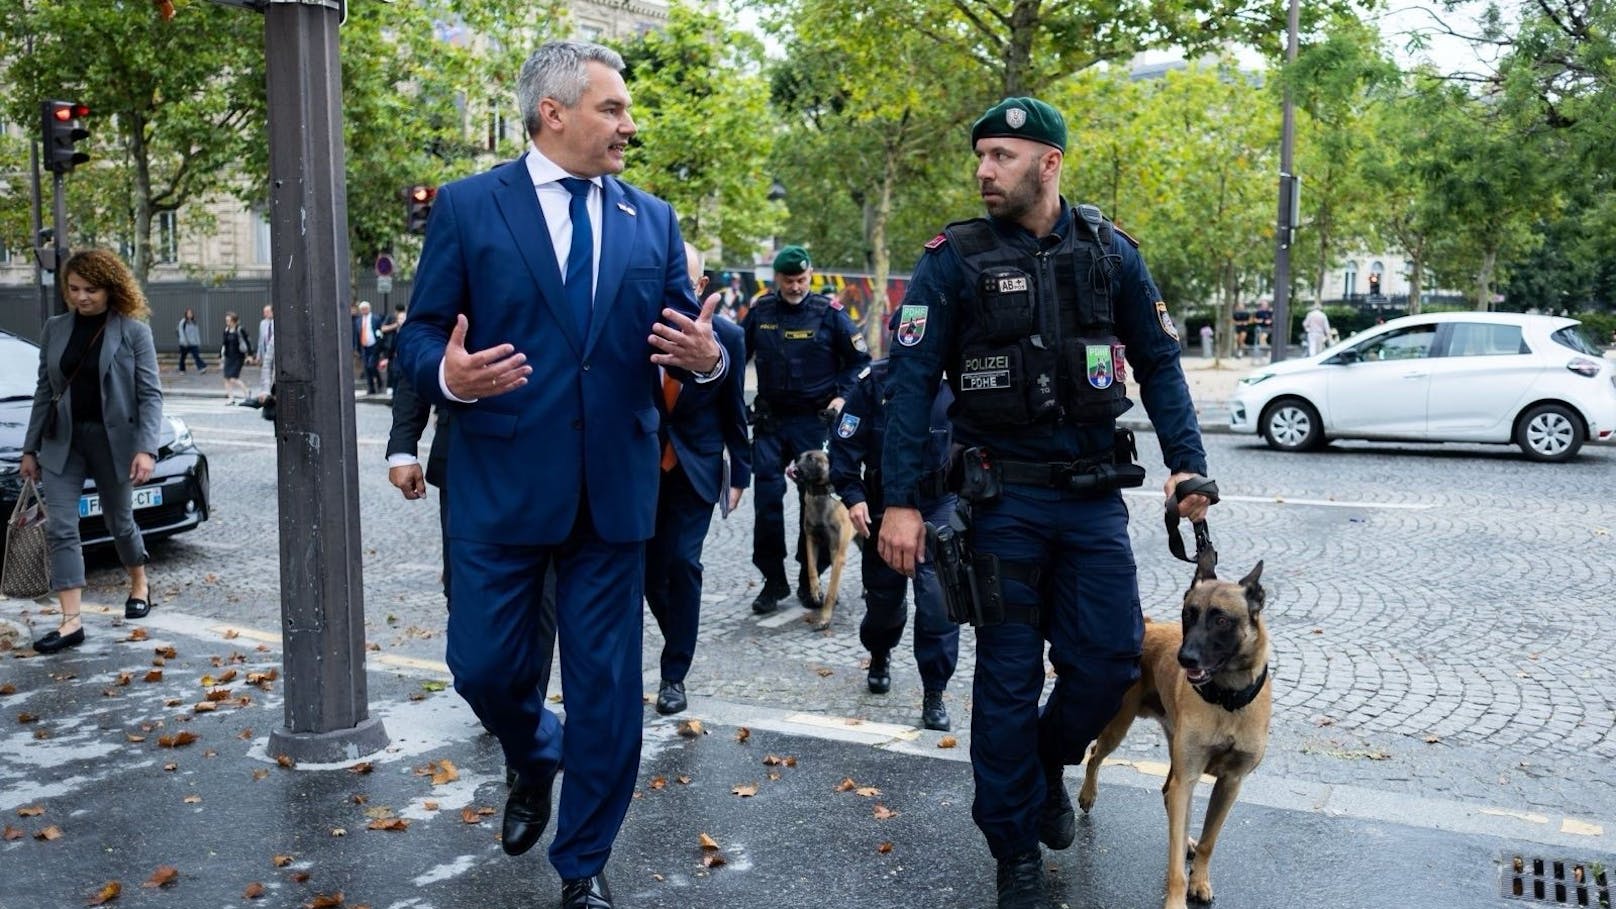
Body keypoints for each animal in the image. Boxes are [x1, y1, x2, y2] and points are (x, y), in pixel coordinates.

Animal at [788, 446, 866, 630]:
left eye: (812, 459)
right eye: (799, 458)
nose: (794, 469)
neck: (820, 495)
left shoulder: (838, 552)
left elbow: (831, 589)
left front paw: (825, 618)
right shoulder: (811, 541)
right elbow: (811, 567)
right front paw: (815, 591)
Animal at [1079, 559, 1266, 905]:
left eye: (1221, 619)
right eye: (1187, 614)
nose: (1185, 658)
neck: (1226, 701)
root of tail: (1149, 625)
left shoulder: (1230, 783)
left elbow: (1209, 841)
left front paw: (1200, 880)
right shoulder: (1189, 776)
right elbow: (1175, 865)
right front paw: (1176, 899)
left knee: (1169, 793)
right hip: (1119, 726)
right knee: (1096, 753)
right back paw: (1087, 795)